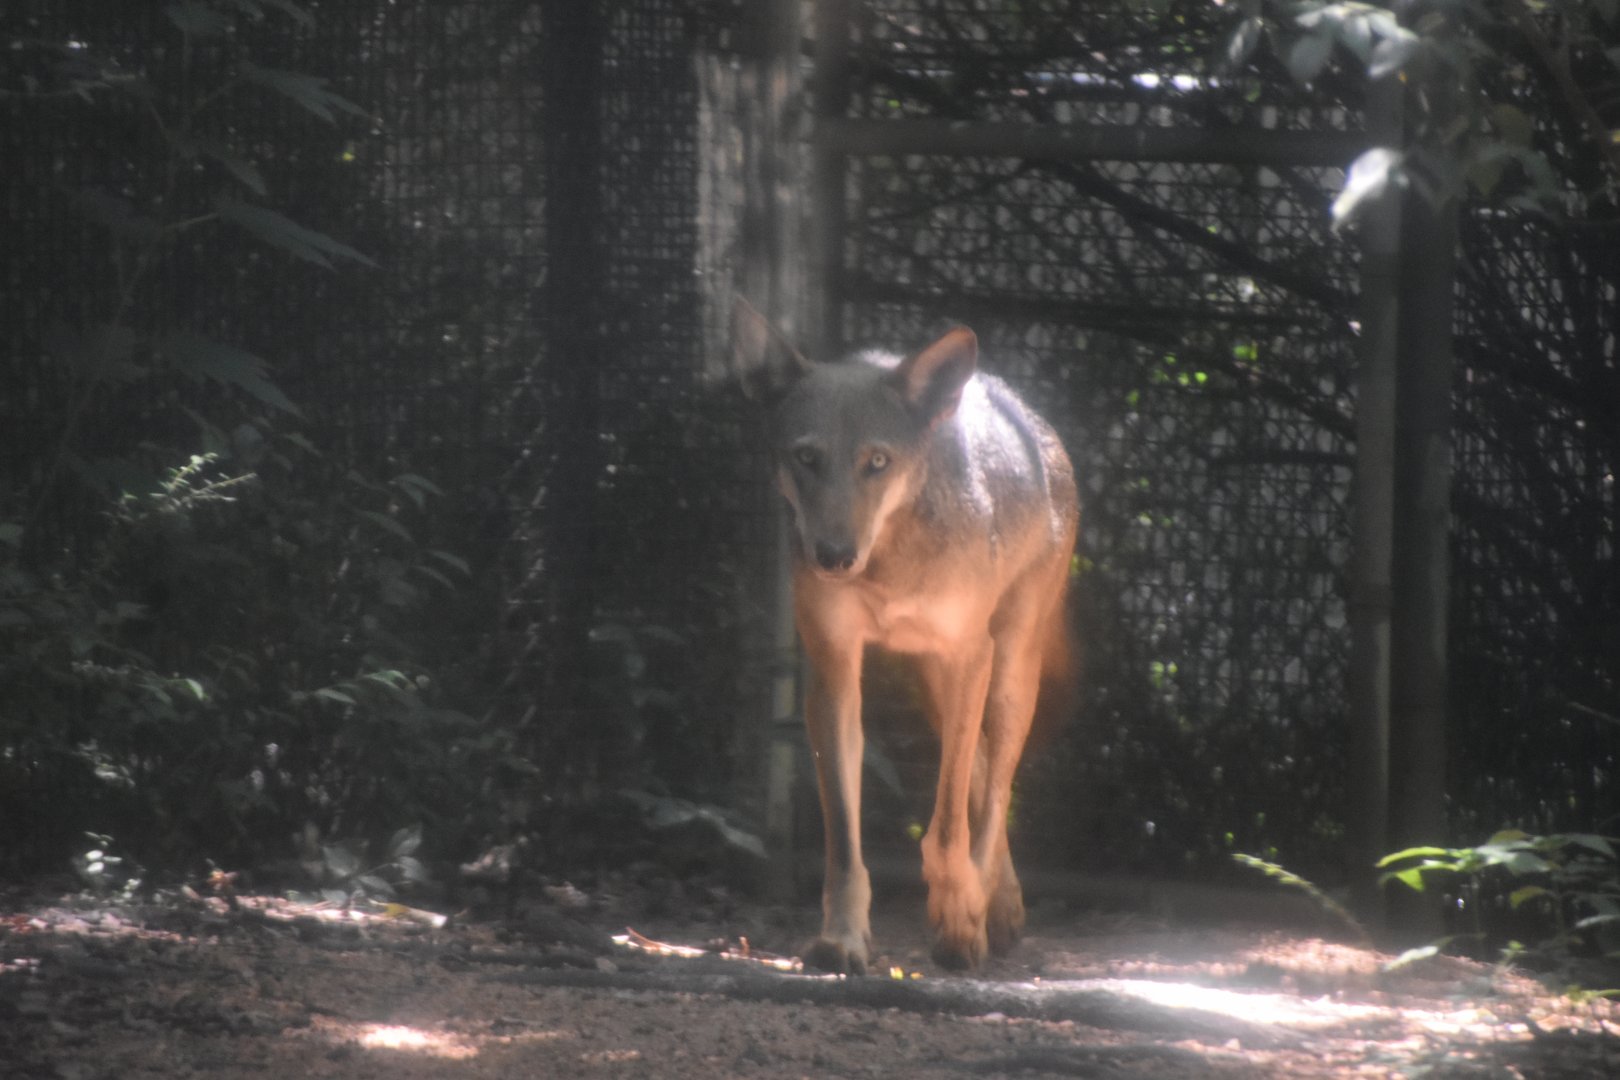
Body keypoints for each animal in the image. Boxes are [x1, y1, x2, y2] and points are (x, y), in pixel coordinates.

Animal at [733, 300, 1079, 972]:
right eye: (806, 458)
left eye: (877, 462)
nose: (834, 556)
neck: (887, 560)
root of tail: (1026, 413)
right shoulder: (833, 672)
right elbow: (845, 842)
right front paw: (843, 939)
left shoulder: (969, 655)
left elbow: (946, 830)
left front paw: (959, 924)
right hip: (938, 689)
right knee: (981, 779)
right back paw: (1002, 905)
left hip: (1006, 674)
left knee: (996, 791)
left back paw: (985, 907)